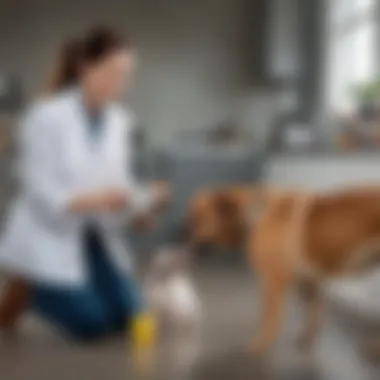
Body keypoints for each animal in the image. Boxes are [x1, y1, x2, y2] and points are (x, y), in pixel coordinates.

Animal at [189, 184, 380, 356]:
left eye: (198, 218)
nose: (184, 232)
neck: (255, 212)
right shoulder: (309, 281)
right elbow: (313, 314)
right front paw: (306, 339)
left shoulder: (273, 281)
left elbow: (269, 317)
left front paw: (260, 344)